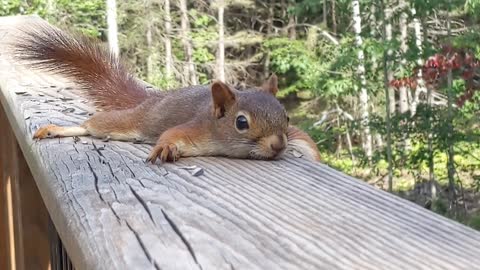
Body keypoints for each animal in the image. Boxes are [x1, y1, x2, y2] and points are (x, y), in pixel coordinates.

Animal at [12, 23, 318, 162]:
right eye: (241, 122)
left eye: (287, 118)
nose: (278, 145)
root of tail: (153, 100)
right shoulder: (196, 129)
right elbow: (172, 134)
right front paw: (166, 147)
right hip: (129, 121)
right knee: (93, 124)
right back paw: (56, 129)